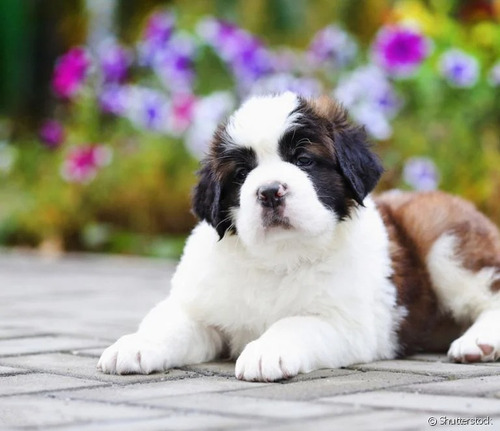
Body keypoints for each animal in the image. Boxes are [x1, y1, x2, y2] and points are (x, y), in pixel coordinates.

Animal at [97, 91, 500, 382]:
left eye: (304, 160)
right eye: (241, 174)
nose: (269, 191)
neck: (278, 258)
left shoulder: (345, 323)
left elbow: (296, 323)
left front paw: (265, 351)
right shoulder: (199, 306)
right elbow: (170, 321)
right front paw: (135, 345)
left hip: (445, 240)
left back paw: (477, 342)